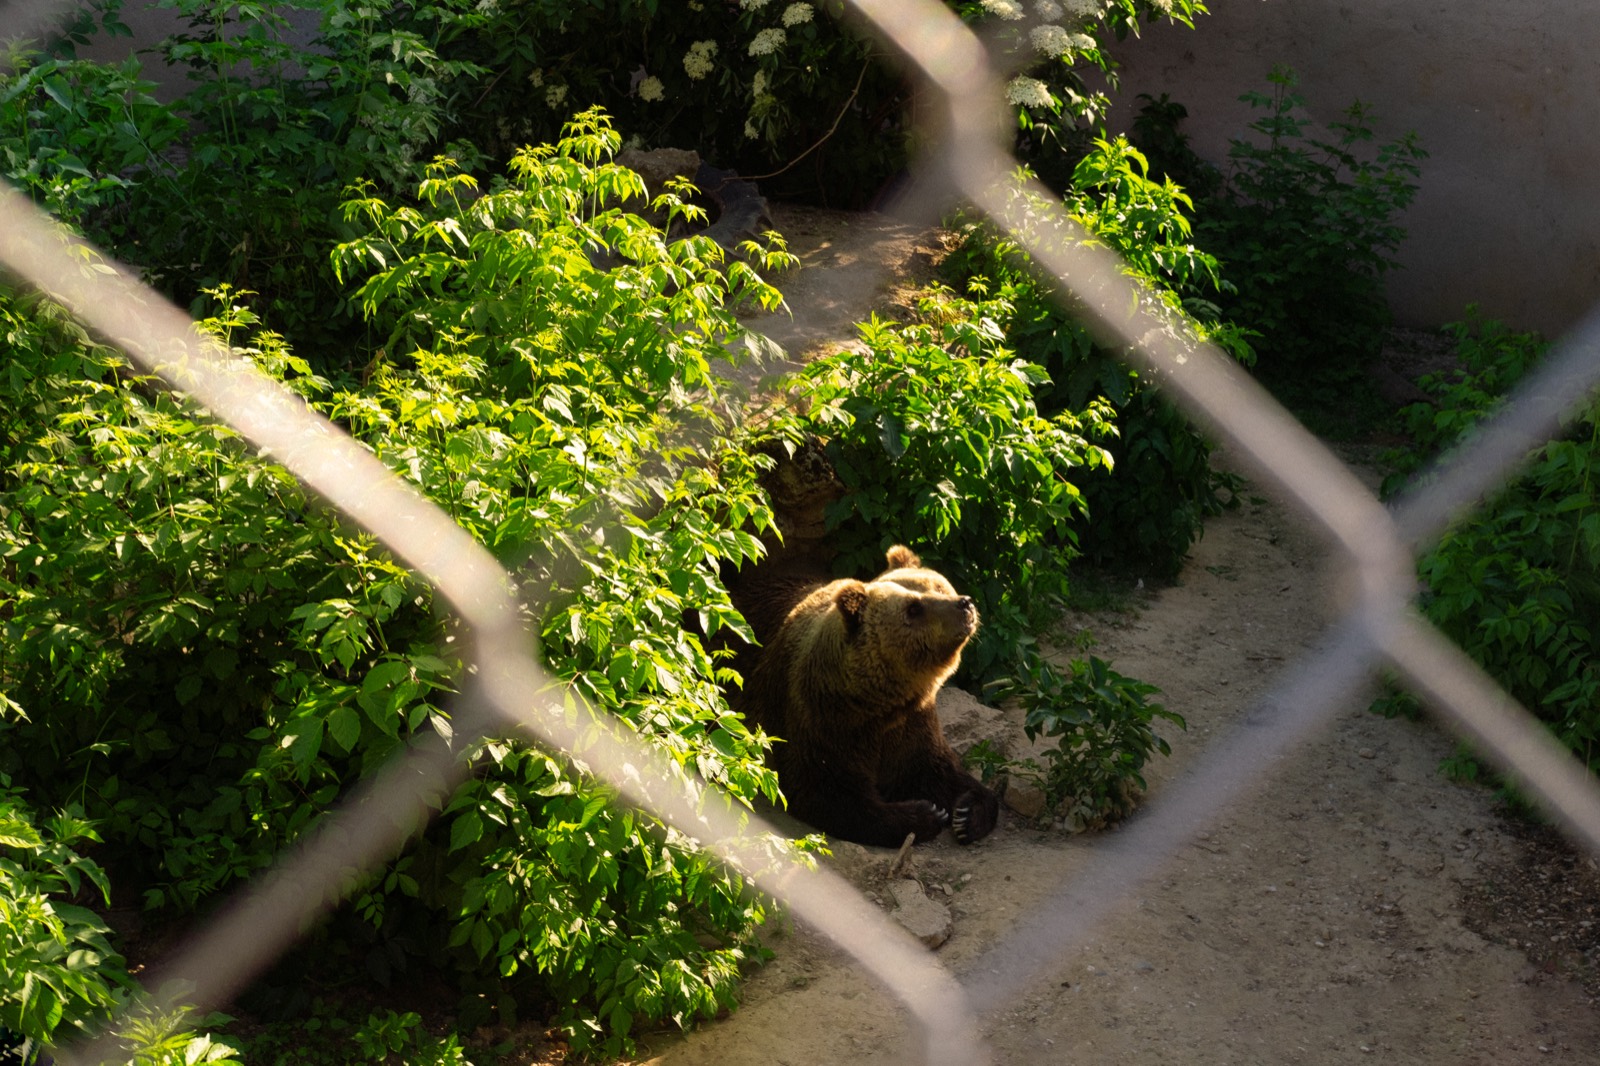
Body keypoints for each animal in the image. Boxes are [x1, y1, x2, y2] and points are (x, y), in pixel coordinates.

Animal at [732, 545, 1001, 848]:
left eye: (939, 586)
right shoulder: (819, 719)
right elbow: (831, 794)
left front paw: (966, 814)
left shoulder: (913, 725)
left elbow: (939, 770)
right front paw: (926, 813)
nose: (964, 604)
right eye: (914, 608)